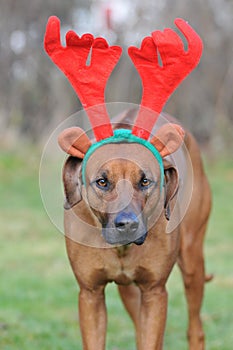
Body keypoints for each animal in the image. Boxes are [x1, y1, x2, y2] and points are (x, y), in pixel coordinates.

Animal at [57, 110, 211, 350]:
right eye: (102, 182)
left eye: (145, 181)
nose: (127, 224)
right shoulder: (90, 294)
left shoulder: (155, 292)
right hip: (128, 291)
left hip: (192, 261)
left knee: (195, 327)